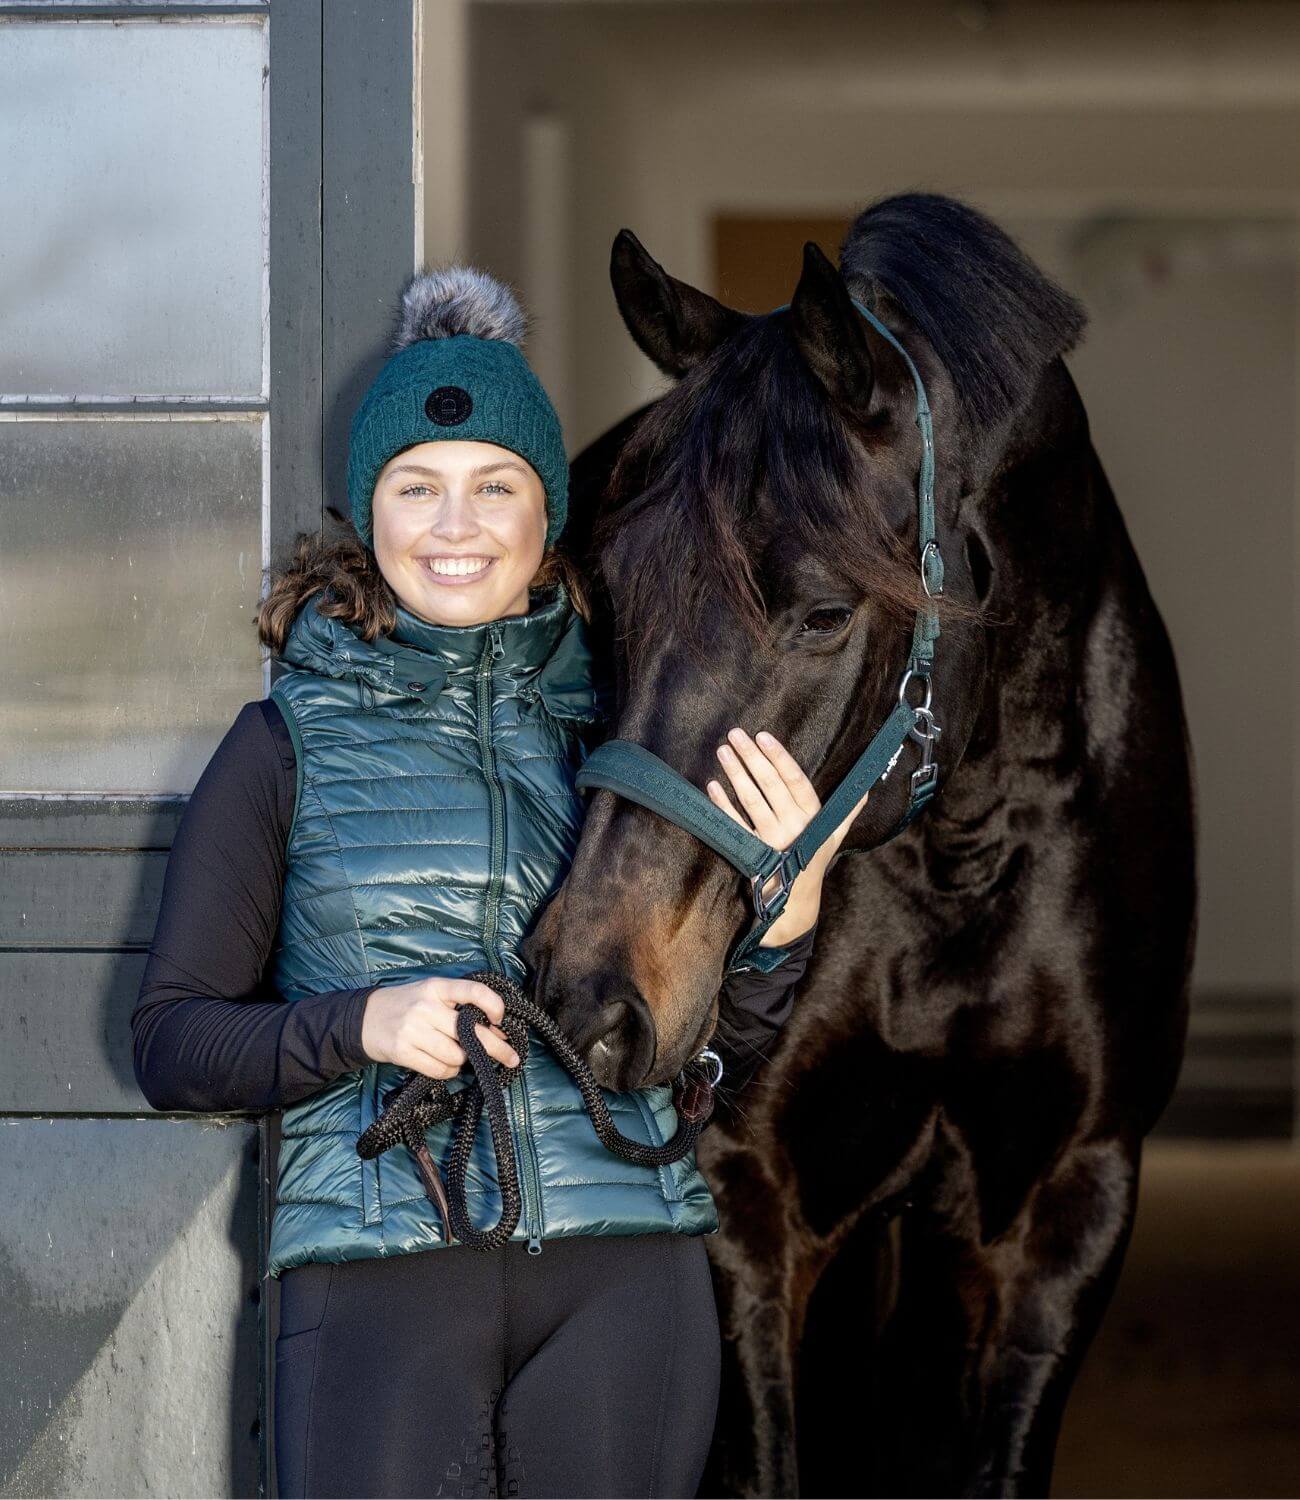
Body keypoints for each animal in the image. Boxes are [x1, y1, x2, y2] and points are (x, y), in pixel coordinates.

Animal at [521, 192, 1195, 1498]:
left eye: (825, 613)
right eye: (601, 590)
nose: (586, 999)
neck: (958, 855)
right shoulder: (746, 1197)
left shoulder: (1070, 1195)